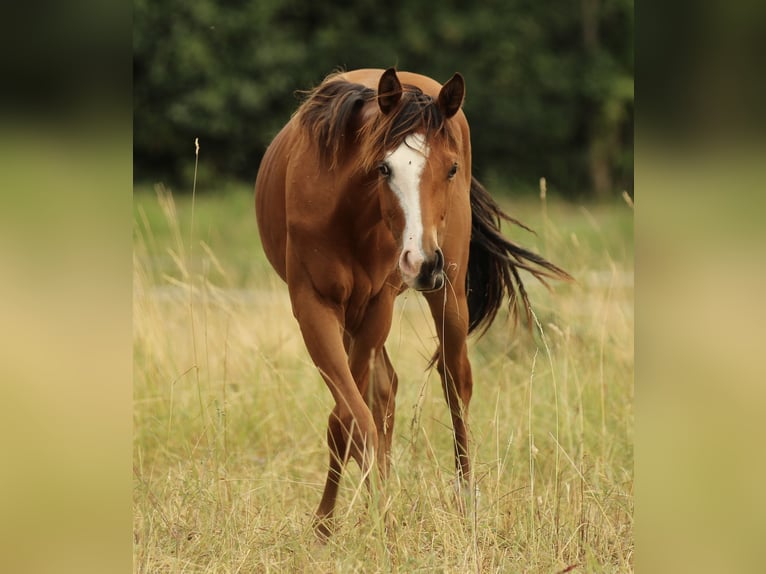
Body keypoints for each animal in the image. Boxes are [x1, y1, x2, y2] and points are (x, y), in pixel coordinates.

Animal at [254, 67, 571, 538]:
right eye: (383, 167)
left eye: (451, 168)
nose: (422, 261)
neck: (348, 210)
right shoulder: (315, 309)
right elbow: (355, 415)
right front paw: (335, 524)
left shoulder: (375, 308)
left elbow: (348, 417)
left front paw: (368, 518)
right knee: (384, 392)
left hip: (447, 298)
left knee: (455, 383)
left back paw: (465, 503)